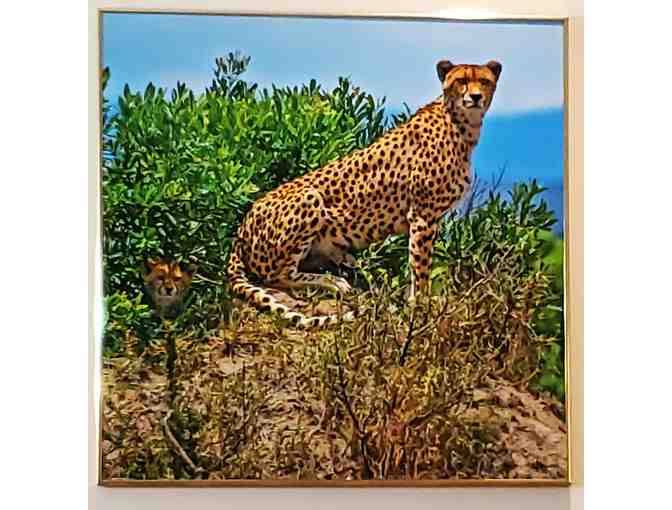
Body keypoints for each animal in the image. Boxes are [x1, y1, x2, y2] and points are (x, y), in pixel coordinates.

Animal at [227, 59, 502, 328]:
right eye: (461, 80)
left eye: (484, 81)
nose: (475, 97)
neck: (461, 123)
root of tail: (241, 228)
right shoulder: (423, 217)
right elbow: (420, 266)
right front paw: (422, 304)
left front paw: (415, 300)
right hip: (310, 197)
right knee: (277, 276)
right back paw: (333, 282)